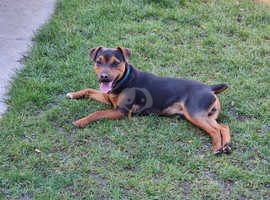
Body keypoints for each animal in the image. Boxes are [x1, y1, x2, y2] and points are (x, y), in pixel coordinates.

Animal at [66, 47, 231, 155]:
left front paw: (81, 121)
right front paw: (73, 94)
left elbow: (97, 113)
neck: (124, 79)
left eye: (115, 63)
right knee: (223, 126)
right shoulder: (108, 98)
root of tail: (209, 88)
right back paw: (226, 146)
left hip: (194, 113)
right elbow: (88, 90)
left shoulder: (121, 111)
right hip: (205, 115)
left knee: (215, 130)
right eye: (98, 62)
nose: (104, 77)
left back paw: (217, 148)